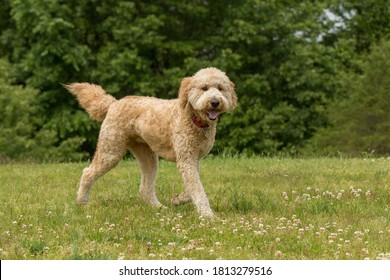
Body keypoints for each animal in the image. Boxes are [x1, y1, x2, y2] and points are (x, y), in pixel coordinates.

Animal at [64, 67, 238, 217]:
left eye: (220, 88)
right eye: (204, 88)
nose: (215, 102)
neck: (193, 118)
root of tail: (113, 103)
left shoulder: (193, 159)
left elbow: (192, 188)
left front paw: (178, 199)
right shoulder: (186, 159)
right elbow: (197, 189)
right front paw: (207, 215)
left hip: (147, 156)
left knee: (145, 188)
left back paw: (159, 208)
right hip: (111, 150)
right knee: (87, 172)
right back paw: (81, 202)